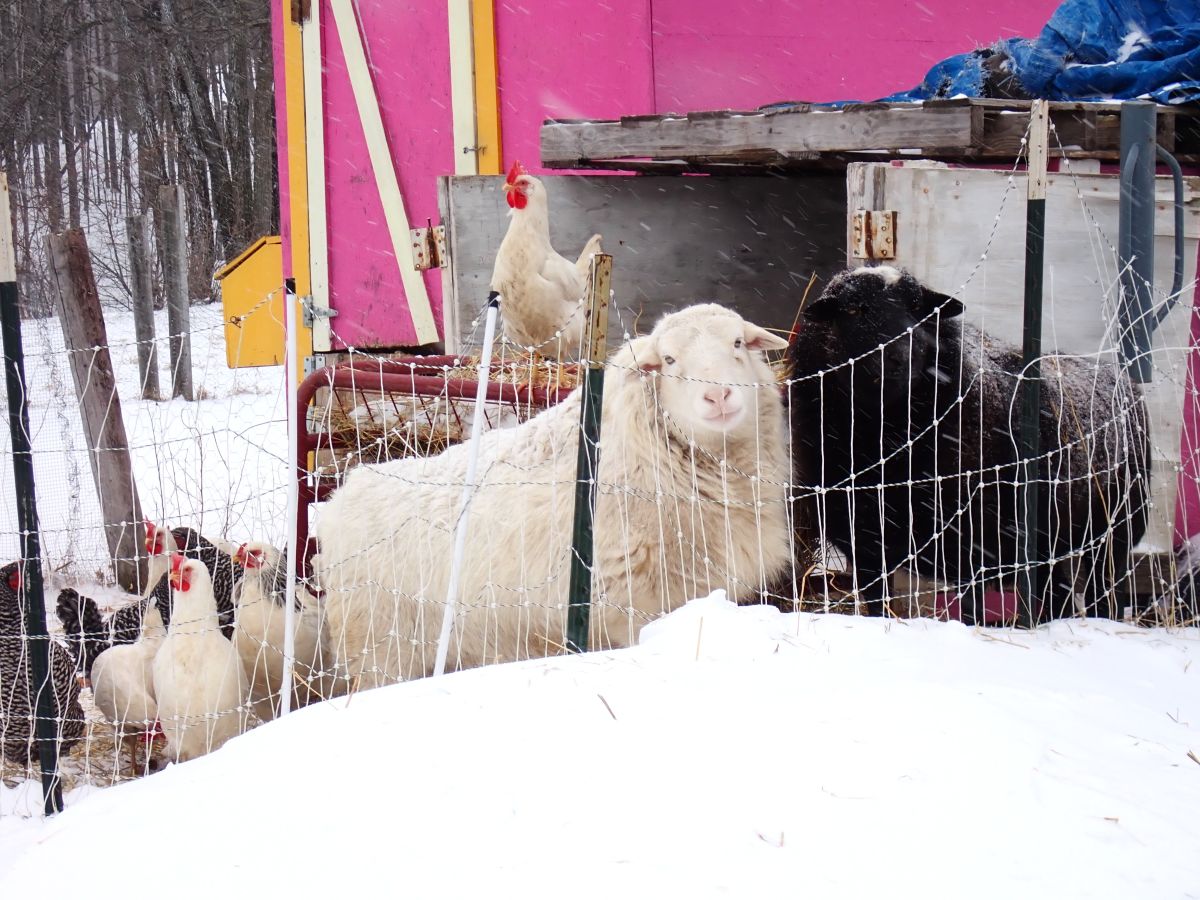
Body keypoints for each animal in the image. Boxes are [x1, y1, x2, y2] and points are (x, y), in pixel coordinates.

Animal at [316, 303, 792, 688]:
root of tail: (344, 493)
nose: (718, 395)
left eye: (737, 343)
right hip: (379, 648)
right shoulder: (626, 602)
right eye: (669, 359)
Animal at [787, 266, 1150, 623]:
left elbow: (972, 611)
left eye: (918, 308)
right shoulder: (865, 543)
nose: (900, 357)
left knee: (1102, 591)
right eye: (852, 309)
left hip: (1117, 528)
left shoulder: (975, 544)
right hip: (1051, 539)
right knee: (1057, 593)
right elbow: (879, 606)